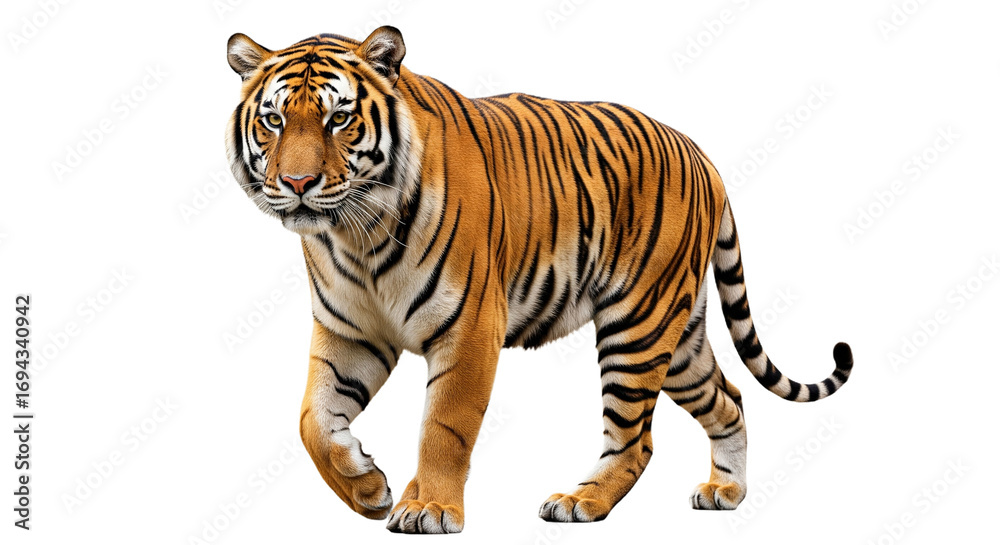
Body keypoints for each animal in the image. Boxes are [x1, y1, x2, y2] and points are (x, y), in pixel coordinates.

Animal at [224, 26, 853, 534]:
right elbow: (312, 421)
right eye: (274, 119)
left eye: (340, 118)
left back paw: (580, 502)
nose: (297, 183)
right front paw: (367, 486)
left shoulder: (470, 328)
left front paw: (428, 509)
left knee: (636, 441)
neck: (356, 235)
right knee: (730, 398)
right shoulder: (350, 334)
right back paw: (728, 491)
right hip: (679, 340)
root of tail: (702, 155)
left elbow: (444, 426)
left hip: (638, 326)